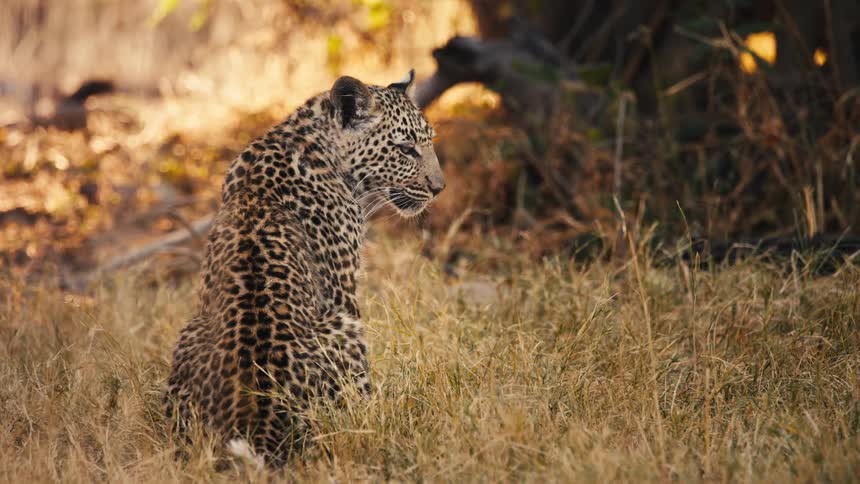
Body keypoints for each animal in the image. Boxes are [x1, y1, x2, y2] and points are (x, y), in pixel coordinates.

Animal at [163, 70, 444, 465]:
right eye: (405, 149)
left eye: (429, 141)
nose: (439, 188)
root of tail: (256, 422)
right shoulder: (342, 291)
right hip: (344, 328)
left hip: (189, 331)